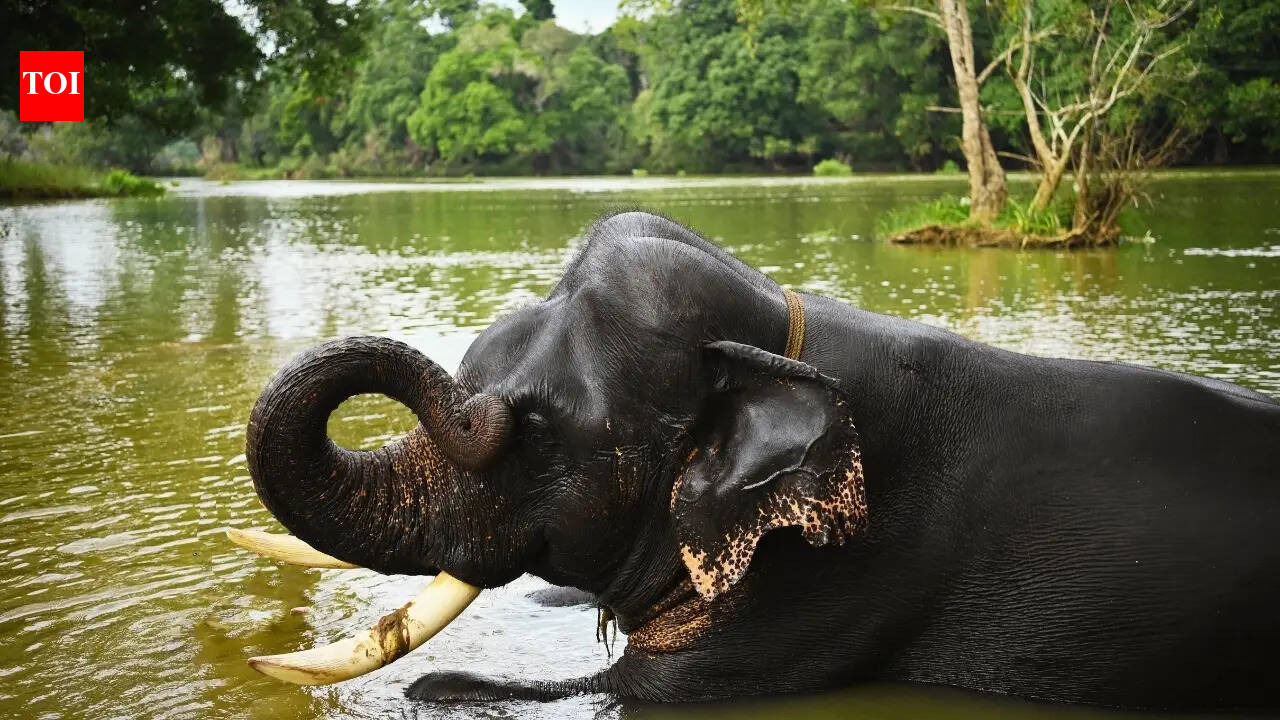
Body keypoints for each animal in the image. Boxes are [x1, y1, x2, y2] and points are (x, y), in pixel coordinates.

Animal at [235, 210, 1280, 711]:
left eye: (533, 433)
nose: (480, 405)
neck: (778, 335)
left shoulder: (843, 572)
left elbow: (637, 692)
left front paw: (434, 687)